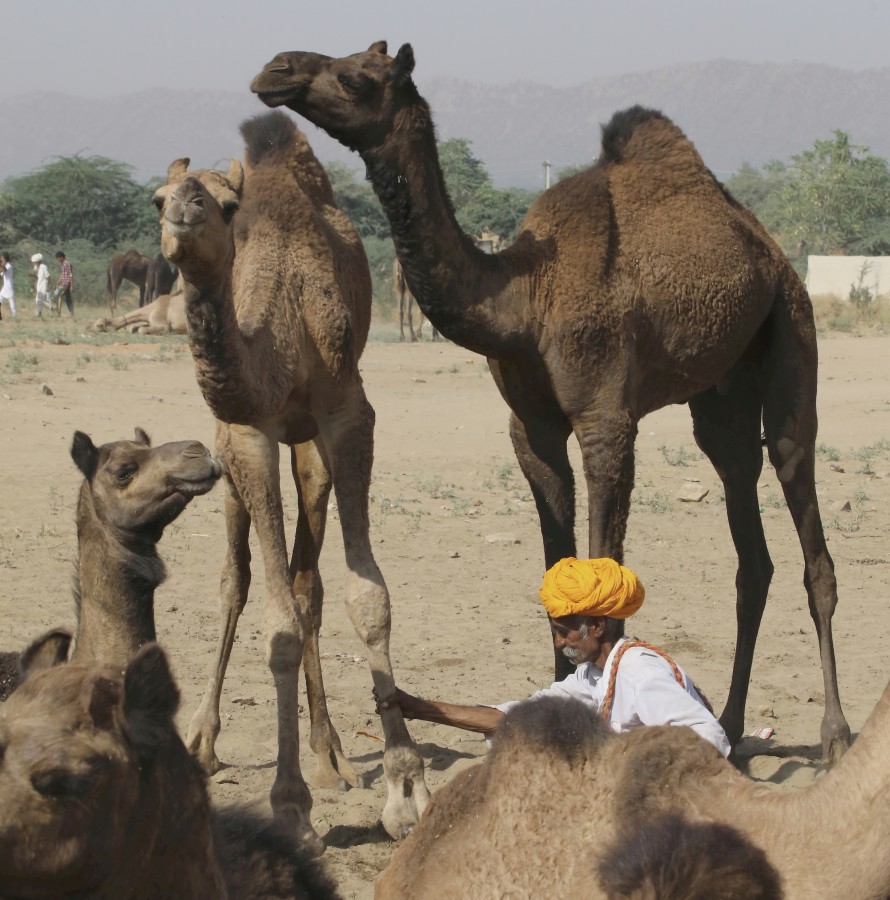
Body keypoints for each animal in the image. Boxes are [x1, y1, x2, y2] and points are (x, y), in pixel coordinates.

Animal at [151, 110, 428, 852]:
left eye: (226, 206)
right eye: (157, 199)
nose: (184, 210)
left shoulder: (345, 414)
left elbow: (366, 598)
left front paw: (405, 790)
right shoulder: (248, 434)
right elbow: (274, 625)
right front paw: (289, 806)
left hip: (310, 456)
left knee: (309, 586)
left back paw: (330, 754)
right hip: (227, 455)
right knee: (236, 580)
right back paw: (204, 740)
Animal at [251, 40, 848, 760]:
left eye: (356, 75)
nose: (277, 70)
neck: (523, 300)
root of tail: (768, 247)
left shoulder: (604, 417)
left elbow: (602, 564)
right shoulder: (530, 429)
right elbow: (556, 567)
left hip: (790, 323)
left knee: (801, 495)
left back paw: (835, 733)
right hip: (721, 394)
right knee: (746, 527)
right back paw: (731, 724)